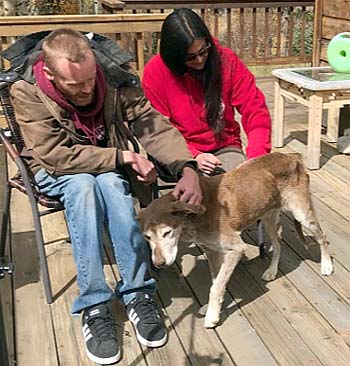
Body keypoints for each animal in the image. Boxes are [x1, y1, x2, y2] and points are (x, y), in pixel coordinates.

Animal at [137, 152, 334, 328]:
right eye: (147, 236)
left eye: (167, 232)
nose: (159, 263)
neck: (195, 214)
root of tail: (292, 157)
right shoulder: (212, 251)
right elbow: (216, 281)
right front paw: (213, 308)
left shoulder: (237, 249)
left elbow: (216, 286)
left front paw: (212, 317)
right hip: (268, 217)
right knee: (278, 243)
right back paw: (271, 271)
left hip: (302, 215)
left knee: (323, 237)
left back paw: (326, 266)